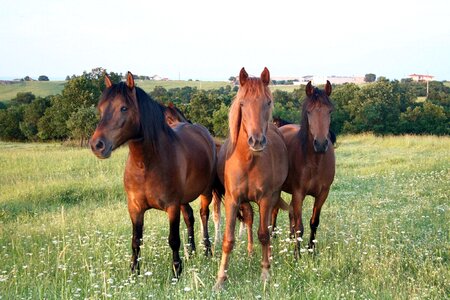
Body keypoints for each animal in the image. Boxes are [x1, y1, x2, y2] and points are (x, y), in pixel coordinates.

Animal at [89, 72, 216, 276]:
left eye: (123, 108)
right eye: (101, 109)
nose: (97, 145)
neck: (146, 166)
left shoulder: (172, 206)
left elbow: (173, 240)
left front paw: (176, 271)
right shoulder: (135, 208)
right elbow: (136, 241)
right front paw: (134, 272)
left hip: (205, 192)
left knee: (204, 215)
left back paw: (207, 251)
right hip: (184, 200)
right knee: (189, 217)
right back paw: (192, 252)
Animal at [214, 68, 288, 290]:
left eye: (268, 102)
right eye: (242, 103)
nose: (256, 141)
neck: (249, 161)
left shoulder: (265, 199)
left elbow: (264, 234)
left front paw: (265, 273)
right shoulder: (232, 199)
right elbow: (228, 240)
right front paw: (220, 279)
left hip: (273, 198)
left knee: (267, 226)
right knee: (248, 218)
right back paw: (249, 251)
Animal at [280, 80, 336, 255]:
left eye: (329, 111)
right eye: (309, 112)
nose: (321, 144)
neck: (315, 162)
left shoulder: (323, 193)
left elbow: (313, 222)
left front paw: (311, 250)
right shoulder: (299, 193)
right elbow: (299, 225)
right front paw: (297, 255)